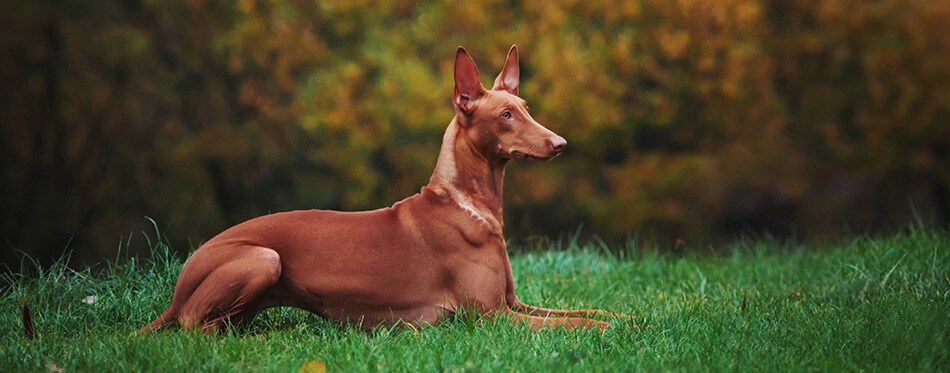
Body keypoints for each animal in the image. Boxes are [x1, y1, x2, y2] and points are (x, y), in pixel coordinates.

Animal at [141, 44, 616, 332]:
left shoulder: (514, 304)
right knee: (198, 329)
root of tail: (177, 289)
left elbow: (592, 309)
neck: (468, 206)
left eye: (525, 108)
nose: (560, 143)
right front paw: (610, 330)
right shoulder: (489, 316)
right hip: (263, 257)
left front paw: (627, 316)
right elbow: (578, 324)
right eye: (505, 115)